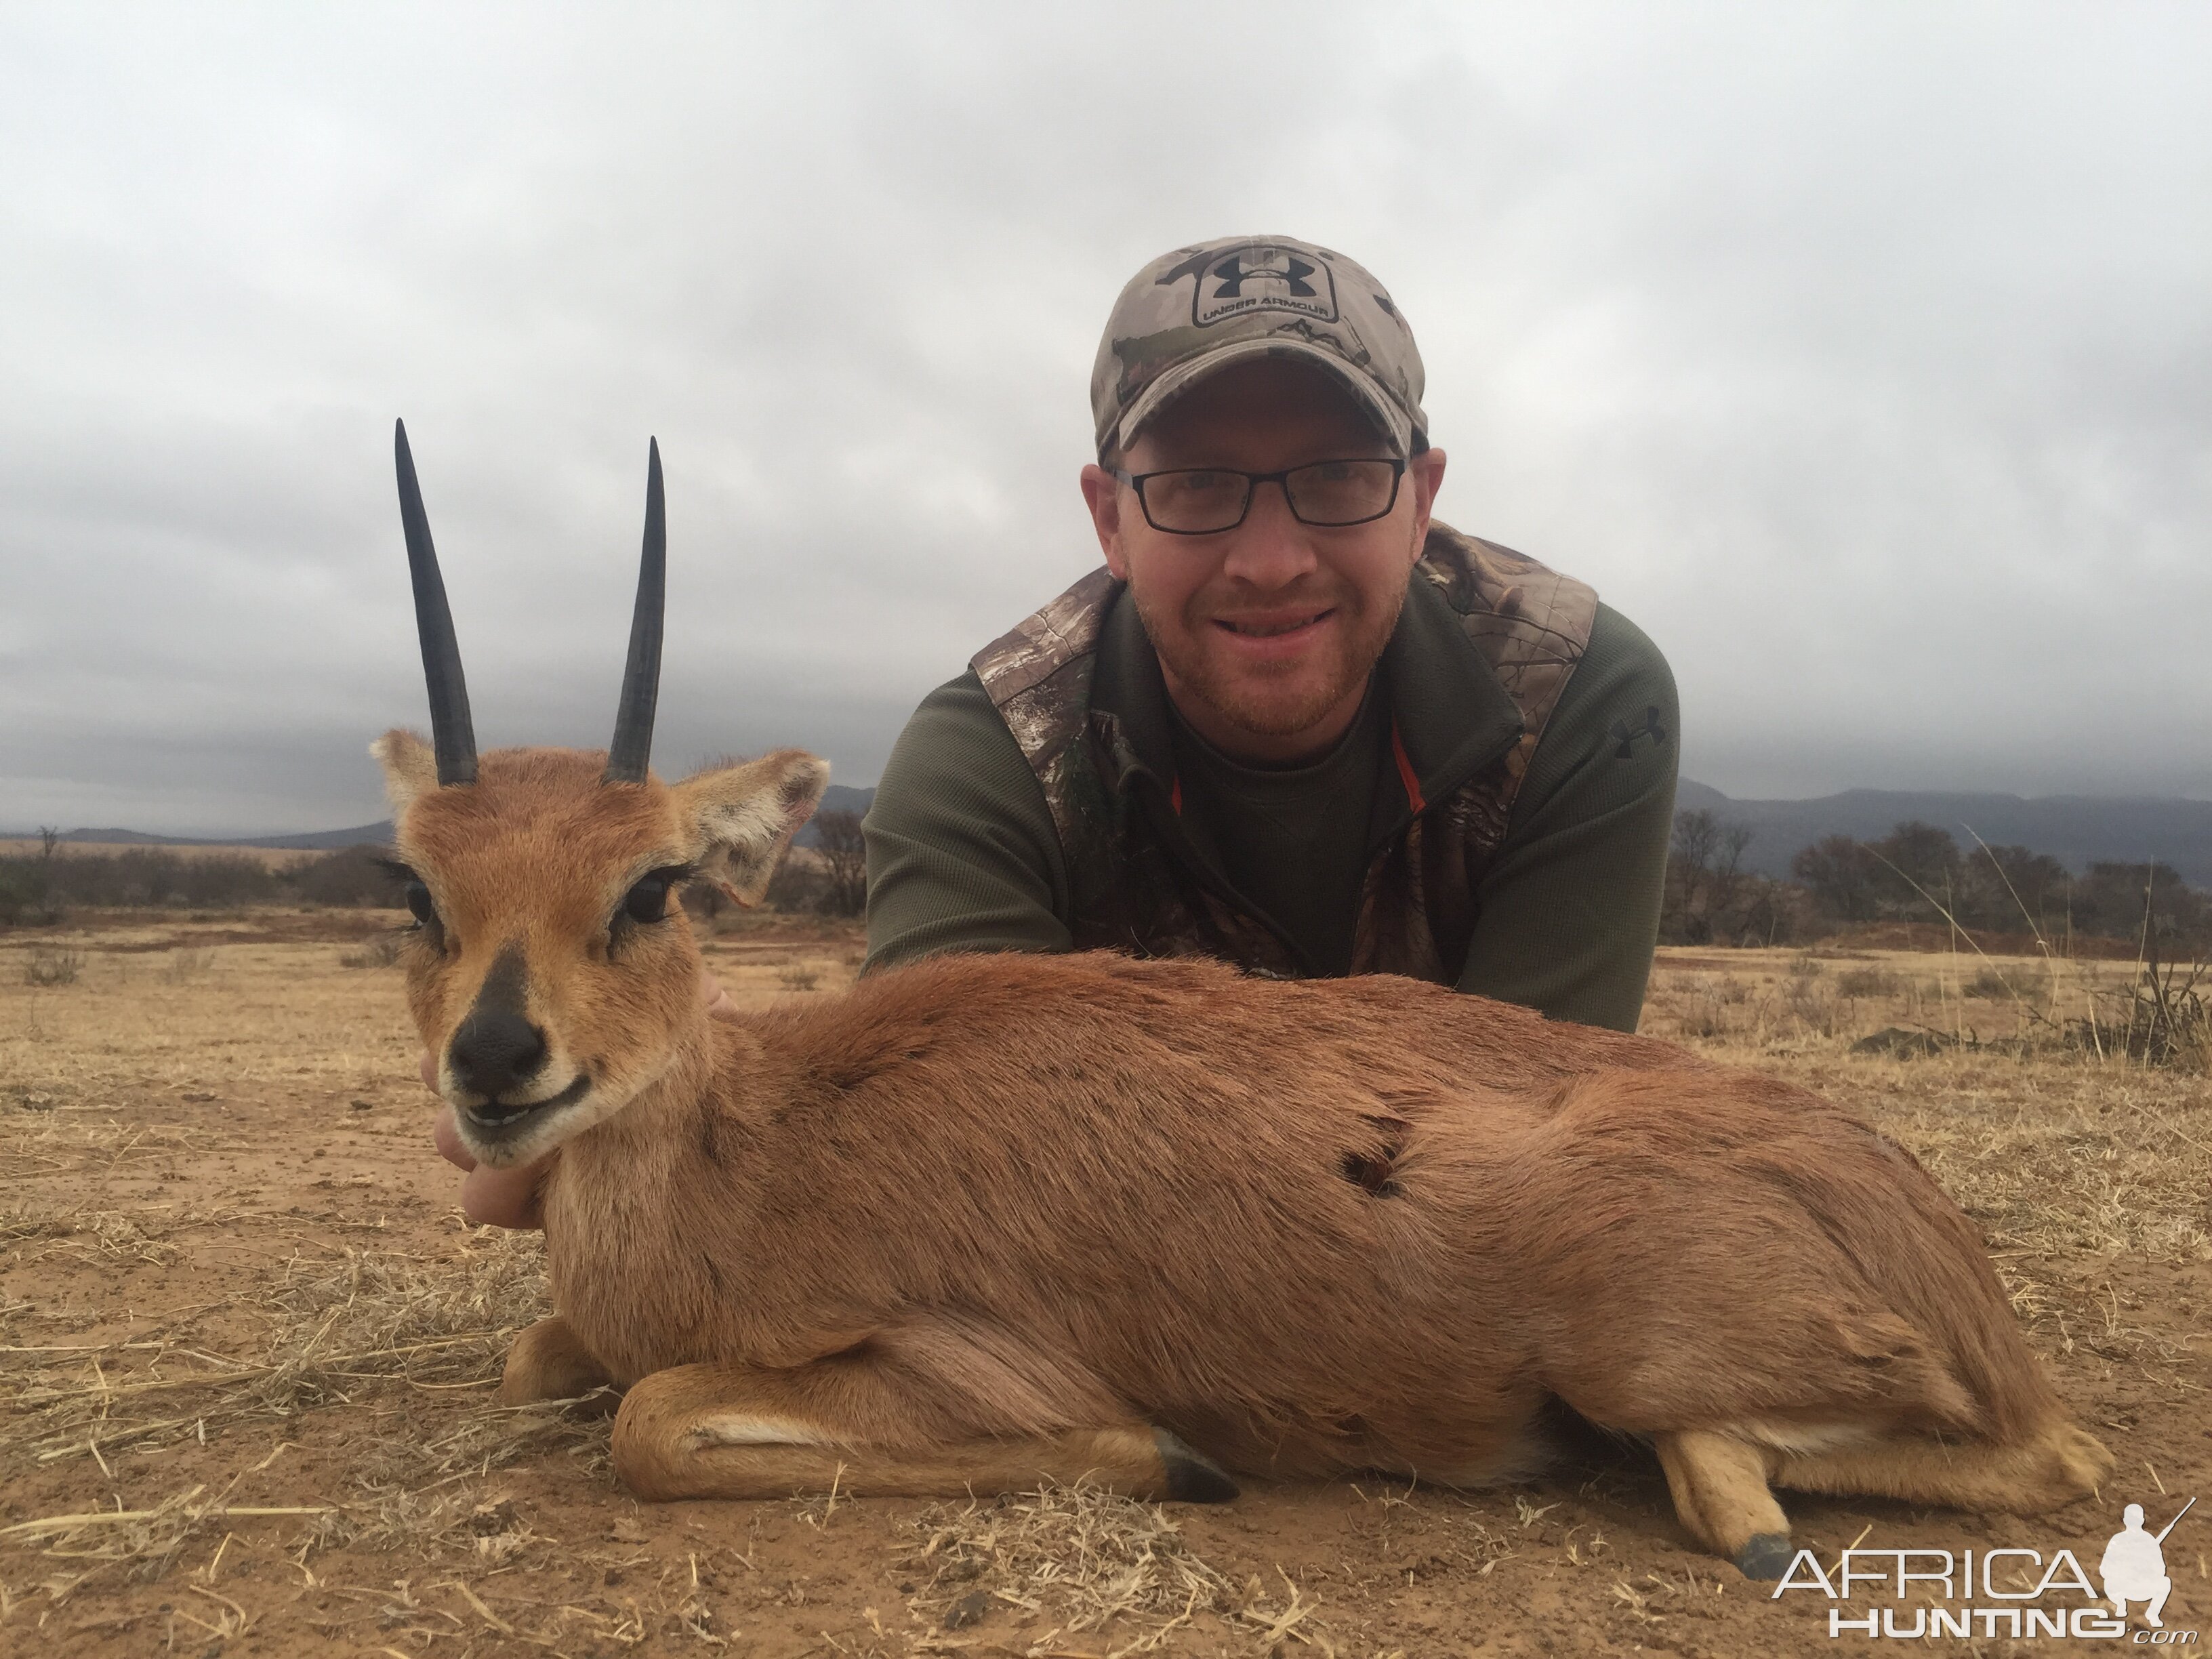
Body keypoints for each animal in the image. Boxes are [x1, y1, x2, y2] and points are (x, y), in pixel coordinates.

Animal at [375, 417, 2106, 1584]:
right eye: (418, 888)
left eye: (651, 884)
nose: (499, 1060)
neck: (760, 1136)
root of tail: (1924, 1229)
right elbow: (543, 1360)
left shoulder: (952, 1367)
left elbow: (650, 1415)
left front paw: (1173, 1457)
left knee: (2017, 1457)